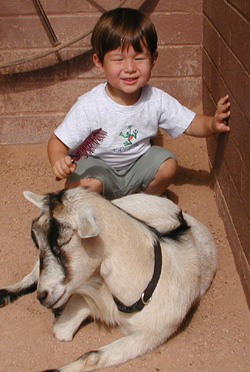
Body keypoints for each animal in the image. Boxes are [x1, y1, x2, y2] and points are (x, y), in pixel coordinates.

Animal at [0, 189, 217, 372]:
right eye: (37, 242)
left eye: (63, 241)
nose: (42, 296)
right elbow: (62, 331)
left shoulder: (151, 335)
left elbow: (90, 355)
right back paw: (5, 293)